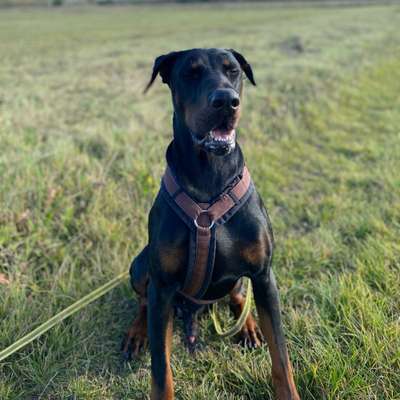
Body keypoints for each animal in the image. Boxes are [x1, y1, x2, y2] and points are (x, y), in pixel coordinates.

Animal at [122, 48, 300, 398]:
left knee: (237, 293)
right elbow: (161, 370)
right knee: (143, 302)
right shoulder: (162, 285)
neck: (210, 177)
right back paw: (137, 332)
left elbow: (281, 357)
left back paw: (248, 325)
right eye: (190, 73)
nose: (226, 101)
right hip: (140, 264)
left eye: (233, 71)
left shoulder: (264, 274)